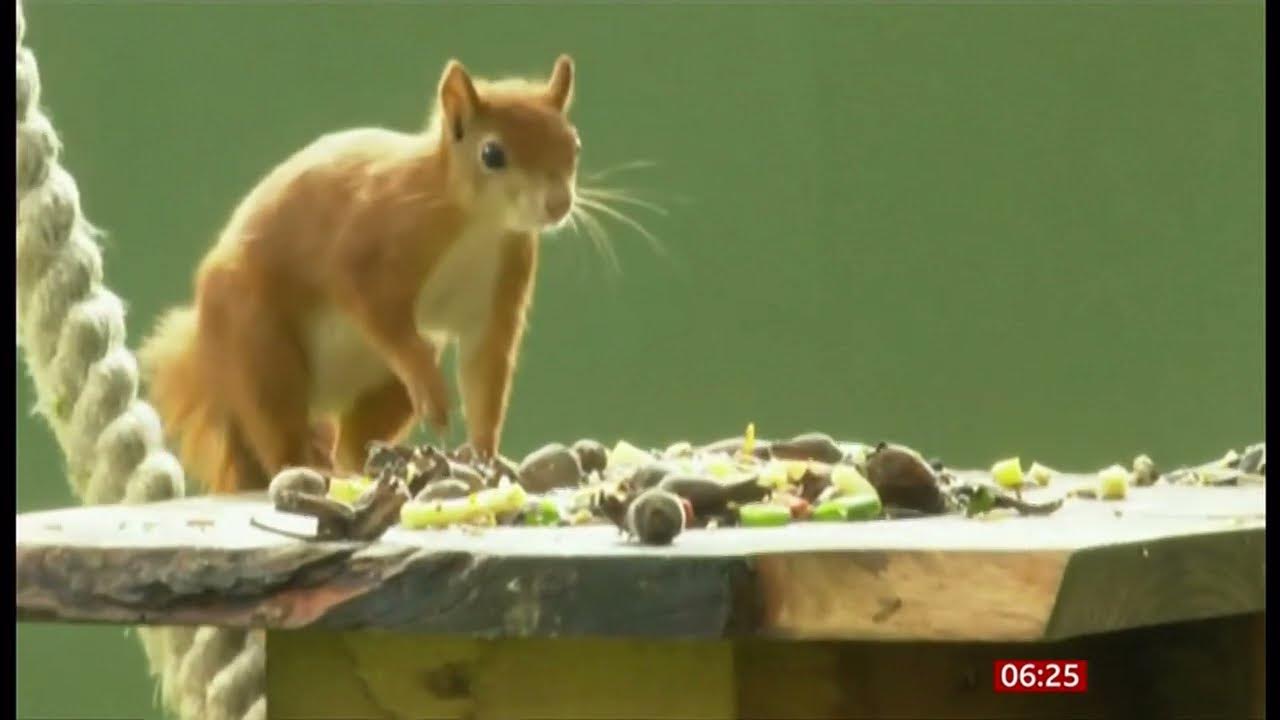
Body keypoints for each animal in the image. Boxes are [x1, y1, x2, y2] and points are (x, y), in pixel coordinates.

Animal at [138, 55, 581, 494]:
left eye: (574, 145)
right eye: (492, 154)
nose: (558, 204)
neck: (478, 221)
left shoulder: (503, 279)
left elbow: (485, 372)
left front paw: (487, 455)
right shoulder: (374, 238)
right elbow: (368, 301)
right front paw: (431, 392)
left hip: (381, 387)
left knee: (352, 442)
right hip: (258, 345)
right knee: (278, 429)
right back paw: (309, 468)